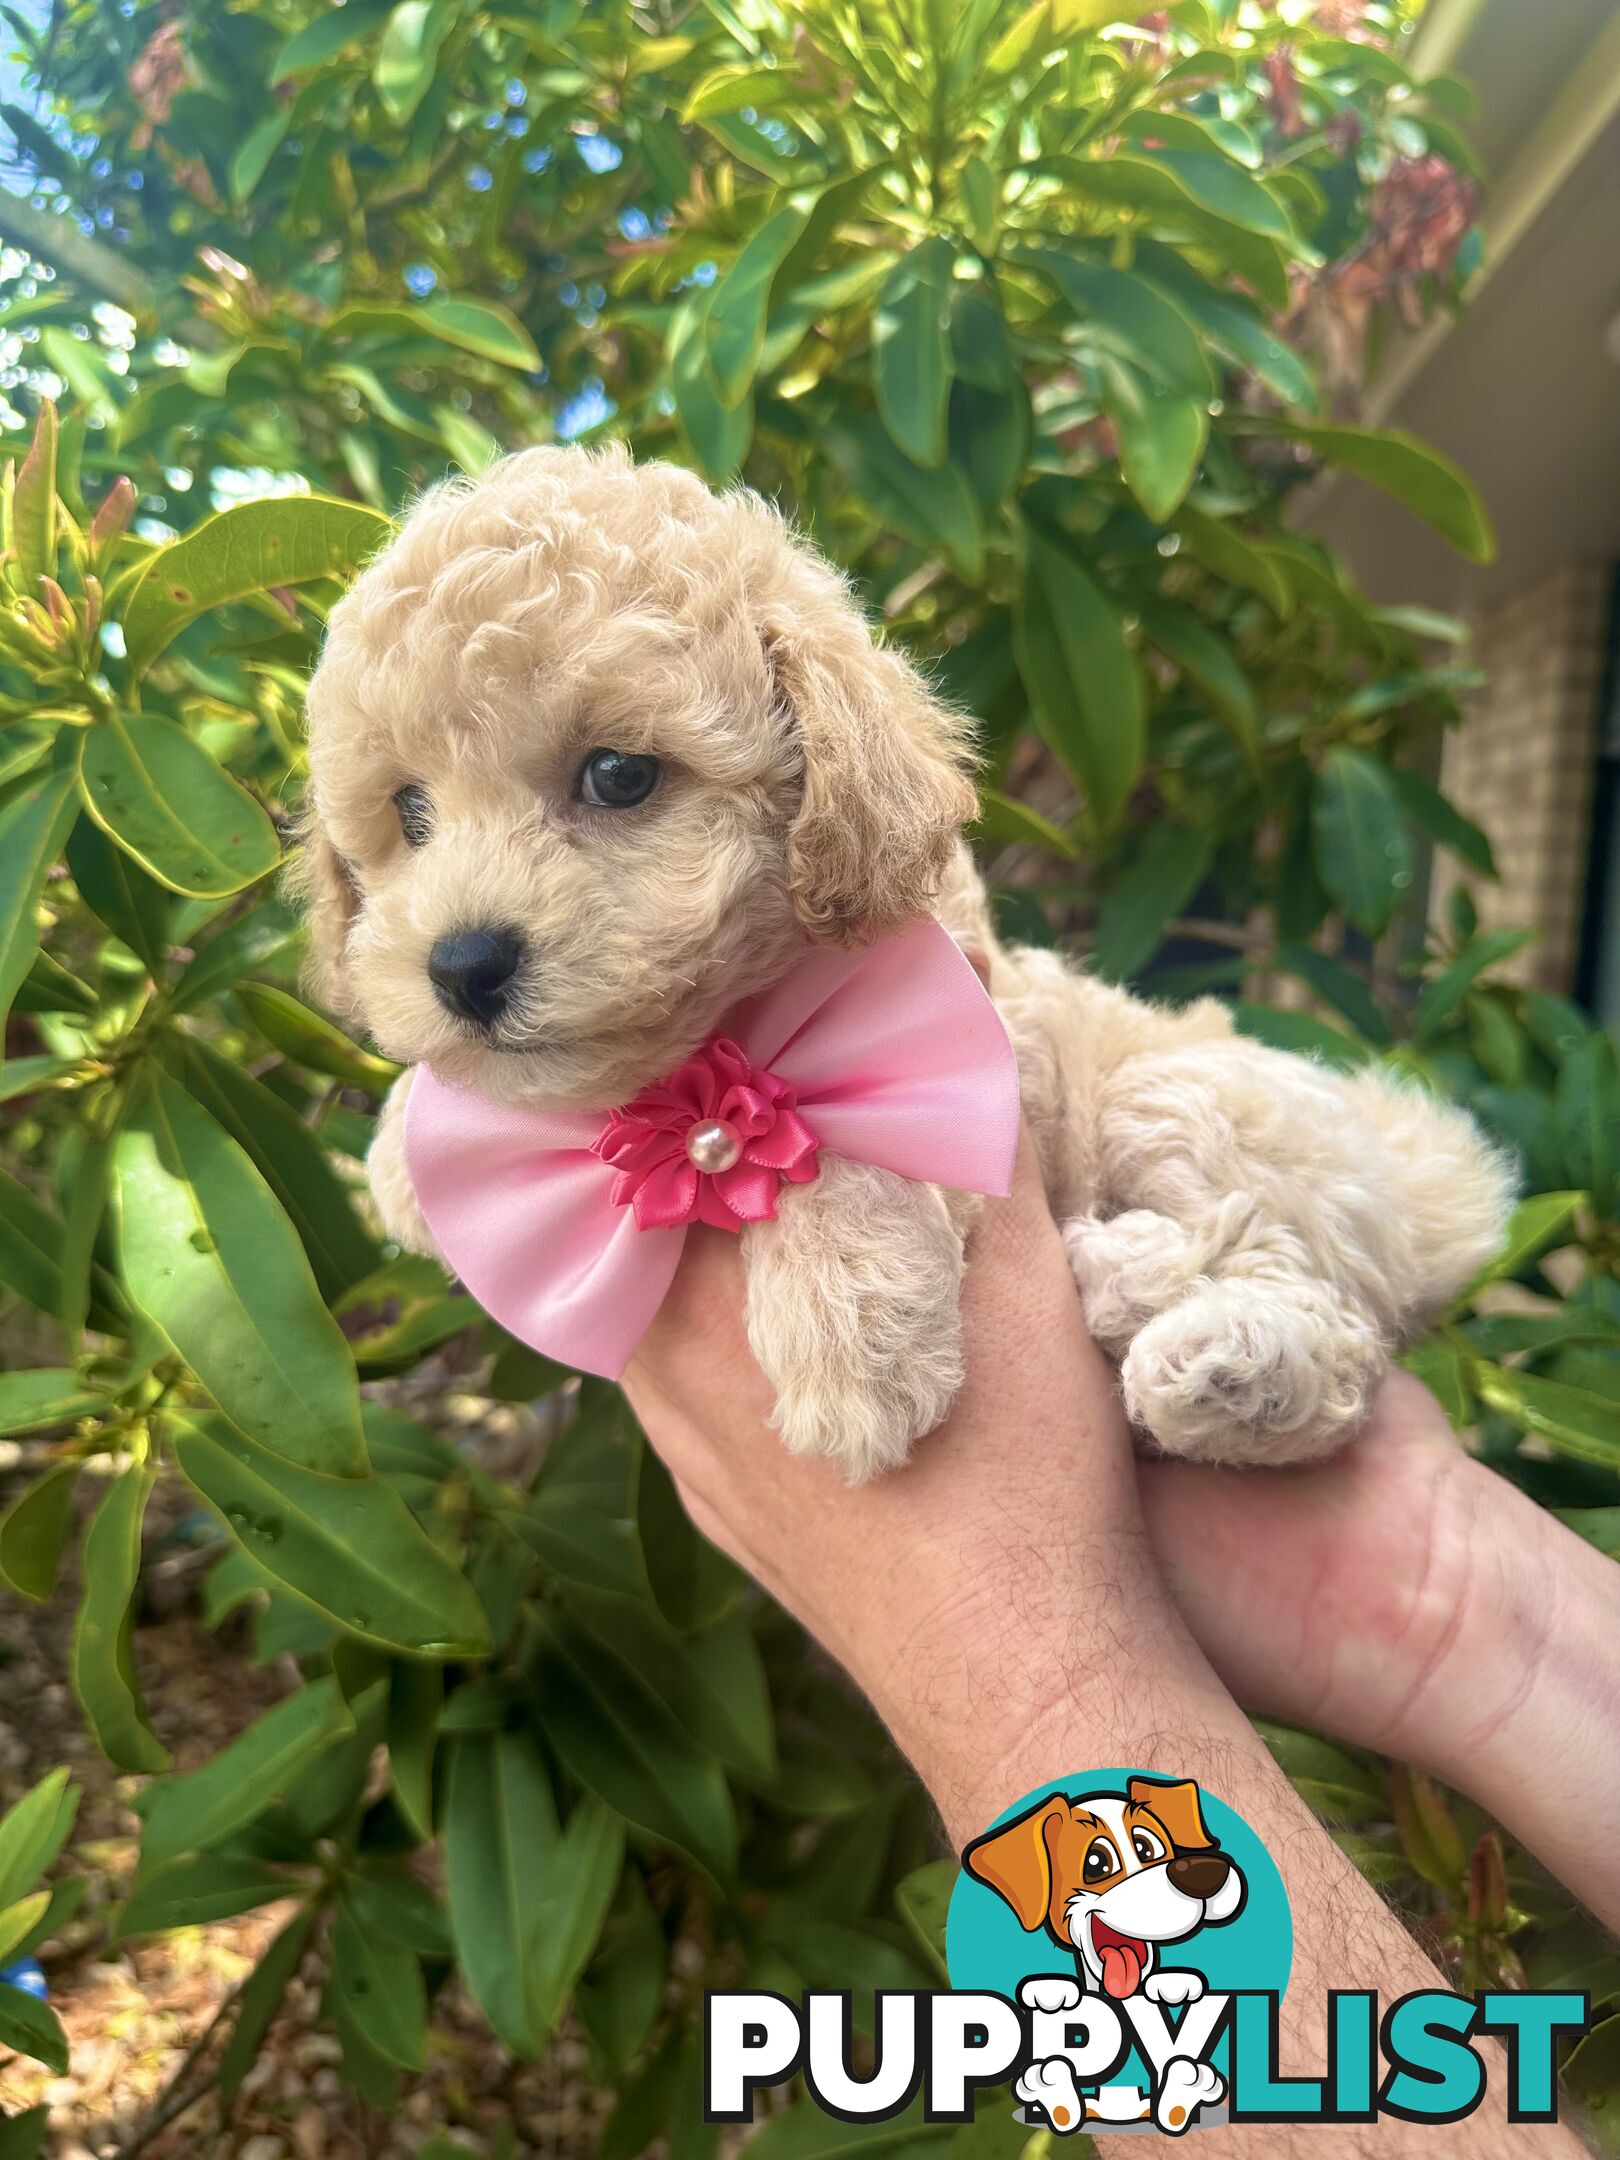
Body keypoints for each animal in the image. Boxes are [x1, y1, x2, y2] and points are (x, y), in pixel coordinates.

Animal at [295, 440, 1520, 1486]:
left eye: (618, 775)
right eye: (409, 813)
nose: (462, 966)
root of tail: (1422, 1179)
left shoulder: (981, 1050)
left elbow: (838, 1132)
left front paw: (854, 1345)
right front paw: (404, 1154)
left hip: (1199, 1099)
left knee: (1317, 1306)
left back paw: (1200, 1342)